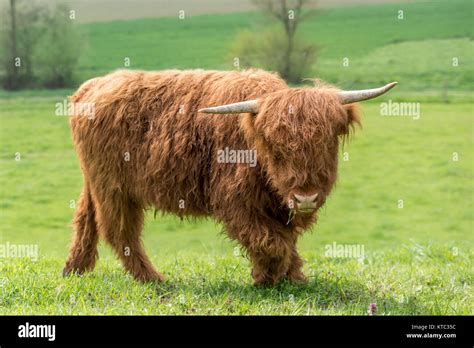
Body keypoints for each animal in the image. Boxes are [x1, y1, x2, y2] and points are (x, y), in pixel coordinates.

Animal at [64, 68, 396, 286]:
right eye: (275, 146)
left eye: (326, 142)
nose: (305, 198)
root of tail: (92, 86)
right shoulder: (236, 201)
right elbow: (270, 240)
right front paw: (267, 277)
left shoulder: (277, 204)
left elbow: (286, 238)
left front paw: (294, 277)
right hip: (114, 187)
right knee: (119, 232)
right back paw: (153, 278)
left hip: (94, 181)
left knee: (85, 217)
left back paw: (75, 269)